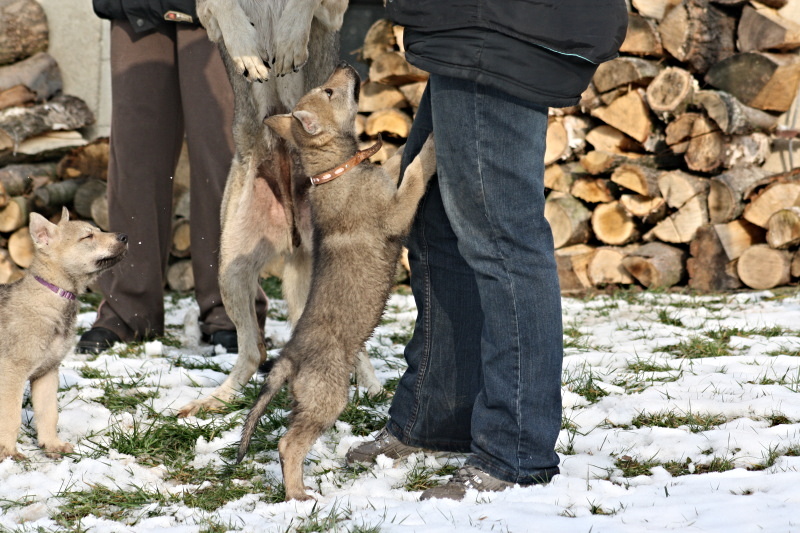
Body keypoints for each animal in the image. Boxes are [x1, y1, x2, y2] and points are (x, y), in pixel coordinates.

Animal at [0, 208, 127, 460]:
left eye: (98, 230)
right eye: (87, 236)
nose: (125, 237)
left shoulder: (47, 372)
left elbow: (49, 413)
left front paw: (52, 445)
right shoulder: (12, 372)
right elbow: (11, 416)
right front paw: (8, 452)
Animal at [176, 0, 385, 418]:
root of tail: (295, 237)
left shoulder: (335, 11)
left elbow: (303, 8)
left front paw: (289, 41)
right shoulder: (206, 16)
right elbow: (225, 9)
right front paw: (247, 53)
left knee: (350, 347)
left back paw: (372, 390)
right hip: (231, 270)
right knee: (252, 351)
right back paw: (215, 400)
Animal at [235, 62, 435, 501]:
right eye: (328, 91)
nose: (346, 66)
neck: (334, 171)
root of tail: (289, 356)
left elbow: (398, 161)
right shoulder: (396, 212)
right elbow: (415, 171)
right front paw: (432, 142)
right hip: (328, 397)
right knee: (288, 443)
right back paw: (298, 496)